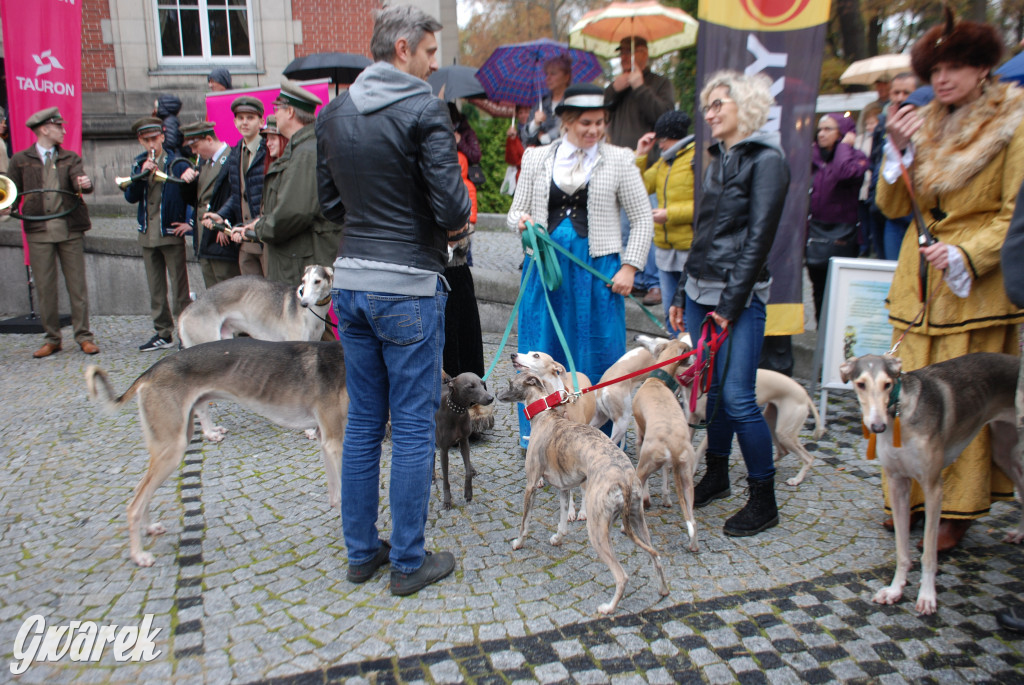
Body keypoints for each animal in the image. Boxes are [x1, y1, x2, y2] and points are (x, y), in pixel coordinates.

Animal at [86, 337, 348, 565]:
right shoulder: (335, 443)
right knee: (134, 504)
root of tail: (151, 372)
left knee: (140, 490)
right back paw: (138, 555)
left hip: (174, 440)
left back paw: (149, 527)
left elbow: (336, 494)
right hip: (171, 449)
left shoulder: (326, 440)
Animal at [497, 370, 671, 618]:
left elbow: (525, 522)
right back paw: (663, 591)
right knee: (656, 557)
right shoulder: (564, 488)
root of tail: (625, 480)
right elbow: (562, 522)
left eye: (511, 383)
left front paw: (518, 542)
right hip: (638, 520)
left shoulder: (531, 485)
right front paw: (558, 539)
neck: (545, 416)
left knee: (622, 576)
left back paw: (608, 607)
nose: (494, 395)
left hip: (597, 528)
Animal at [839, 352, 1024, 614]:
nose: (877, 427)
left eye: (888, 384)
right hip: (1003, 452)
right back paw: (1019, 533)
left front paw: (926, 596)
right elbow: (902, 549)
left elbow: (928, 553)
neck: (900, 415)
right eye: (861, 384)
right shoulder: (897, 483)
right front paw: (895, 590)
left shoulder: (933, 487)